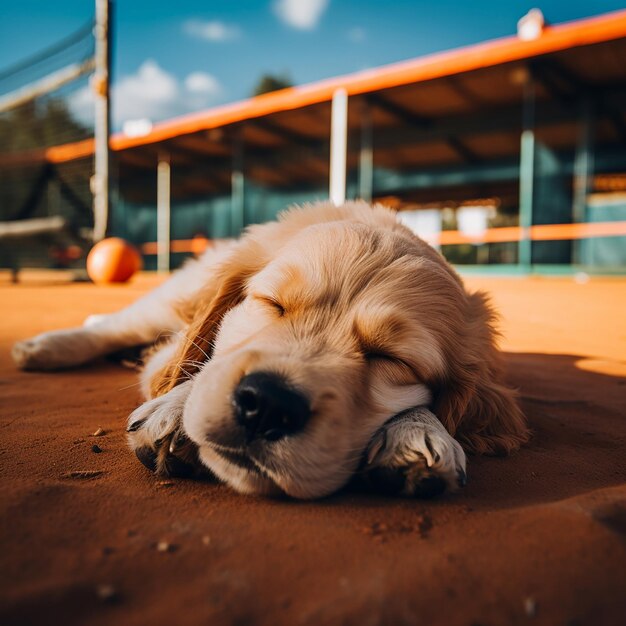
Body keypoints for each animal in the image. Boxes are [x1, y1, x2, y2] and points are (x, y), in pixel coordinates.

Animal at [11, 202, 528, 500]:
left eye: (392, 359)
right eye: (271, 304)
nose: (268, 406)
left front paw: (418, 432)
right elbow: (203, 362)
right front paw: (177, 409)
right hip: (169, 297)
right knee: (115, 325)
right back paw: (43, 346)